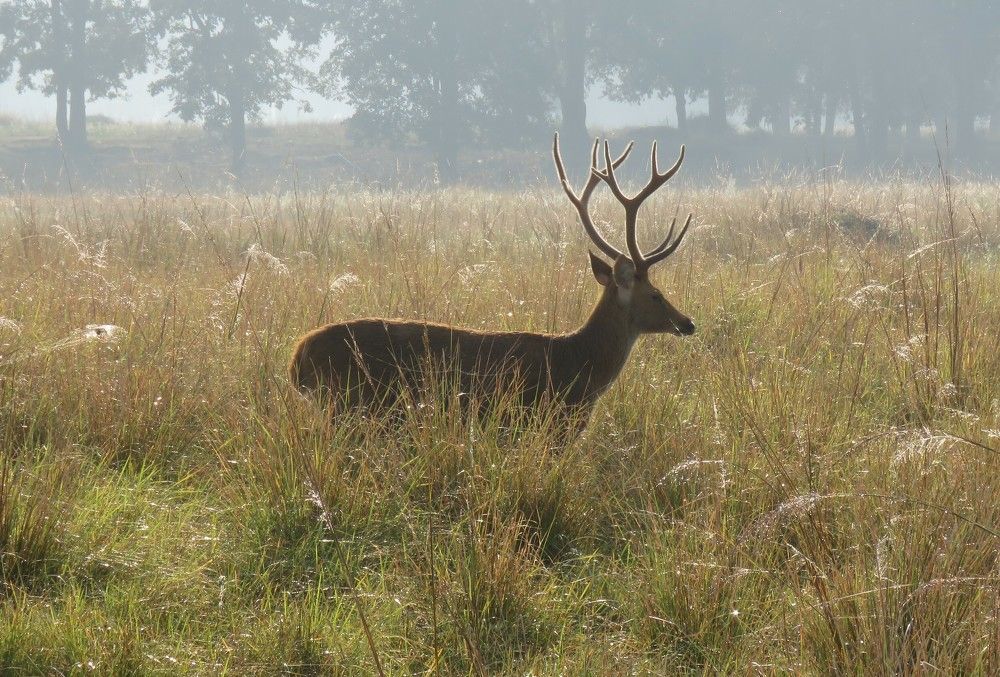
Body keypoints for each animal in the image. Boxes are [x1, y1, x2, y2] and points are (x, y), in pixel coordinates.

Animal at [289, 134, 696, 439]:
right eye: (656, 295)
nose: (688, 322)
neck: (577, 367)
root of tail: (297, 360)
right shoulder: (537, 423)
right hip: (352, 406)